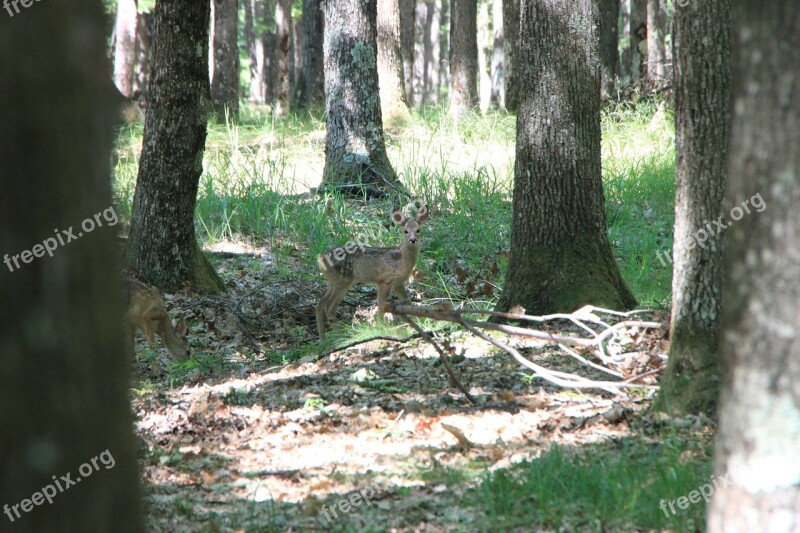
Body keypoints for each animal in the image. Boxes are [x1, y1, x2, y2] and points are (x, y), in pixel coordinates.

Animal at [316, 204, 428, 340]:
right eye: (405, 231)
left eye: (418, 230)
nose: (412, 240)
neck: (401, 260)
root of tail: (321, 260)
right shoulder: (386, 280)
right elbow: (383, 305)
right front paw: (382, 327)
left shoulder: (395, 283)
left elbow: (405, 302)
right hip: (344, 279)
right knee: (329, 307)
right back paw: (341, 336)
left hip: (334, 281)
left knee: (320, 304)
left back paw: (323, 339)